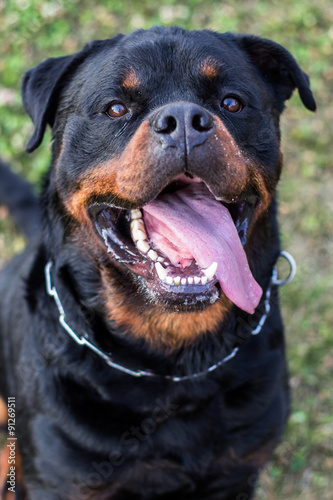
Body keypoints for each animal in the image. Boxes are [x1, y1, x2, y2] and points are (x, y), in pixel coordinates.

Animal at [0, 26, 314, 500]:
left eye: (231, 102)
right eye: (115, 108)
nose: (184, 119)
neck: (176, 364)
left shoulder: (237, 472)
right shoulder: (59, 482)